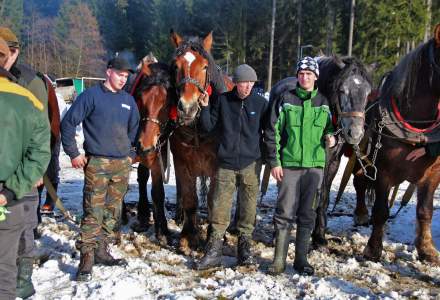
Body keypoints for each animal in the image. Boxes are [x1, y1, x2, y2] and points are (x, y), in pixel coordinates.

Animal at [168, 30, 232, 254]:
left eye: (205, 66)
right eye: (175, 66)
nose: (187, 107)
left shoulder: (217, 165)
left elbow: (214, 201)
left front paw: (213, 235)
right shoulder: (181, 161)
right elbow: (190, 199)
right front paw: (188, 236)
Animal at [356, 24, 440, 262]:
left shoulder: (432, 174)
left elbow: (425, 210)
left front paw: (426, 249)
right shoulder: (382, 171)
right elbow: (381, 211)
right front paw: (373, 248)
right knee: (359, 183)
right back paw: (361, 214)